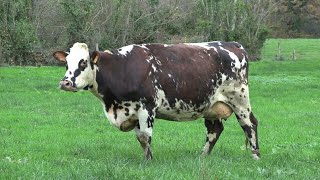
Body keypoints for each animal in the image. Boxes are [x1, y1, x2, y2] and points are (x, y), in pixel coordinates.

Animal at [53, 41, 260, 160]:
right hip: (211, 106)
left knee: (250, 124)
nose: (65, 82)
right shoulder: (132, 110)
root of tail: (232, 43)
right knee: (214, 130)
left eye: (83, 63)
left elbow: (145, 136)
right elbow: (140, 138)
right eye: (66, 63)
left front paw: (148, 162)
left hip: (240, 98)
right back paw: (202, 156)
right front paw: (147, 158)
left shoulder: (147, 107)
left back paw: (256, 155)